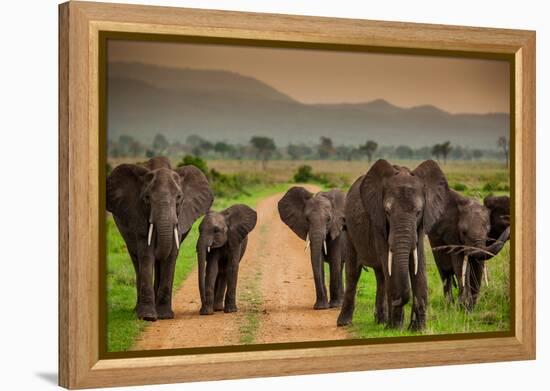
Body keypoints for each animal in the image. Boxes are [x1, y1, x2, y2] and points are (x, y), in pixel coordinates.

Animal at [106, 156, 215, 322]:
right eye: (146, 198)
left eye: (179, 197)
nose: (204, 311)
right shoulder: (138, 214)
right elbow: (146, 253)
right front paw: (147, 317)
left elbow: (171, 255)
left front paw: (164, 316)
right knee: (136, 259)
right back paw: (137, 310)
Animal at [338, 160, 450, 330]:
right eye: (387, 212)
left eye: (418, 212)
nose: (397, 300)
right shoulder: (379, 223)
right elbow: (390, 266)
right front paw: (396, 327)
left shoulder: (420, 226)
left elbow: (419, 265)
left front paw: (418, 329)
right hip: (350, 230)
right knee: (354, 272)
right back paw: (344, 323)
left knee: (381, 276)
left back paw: (381, 321)